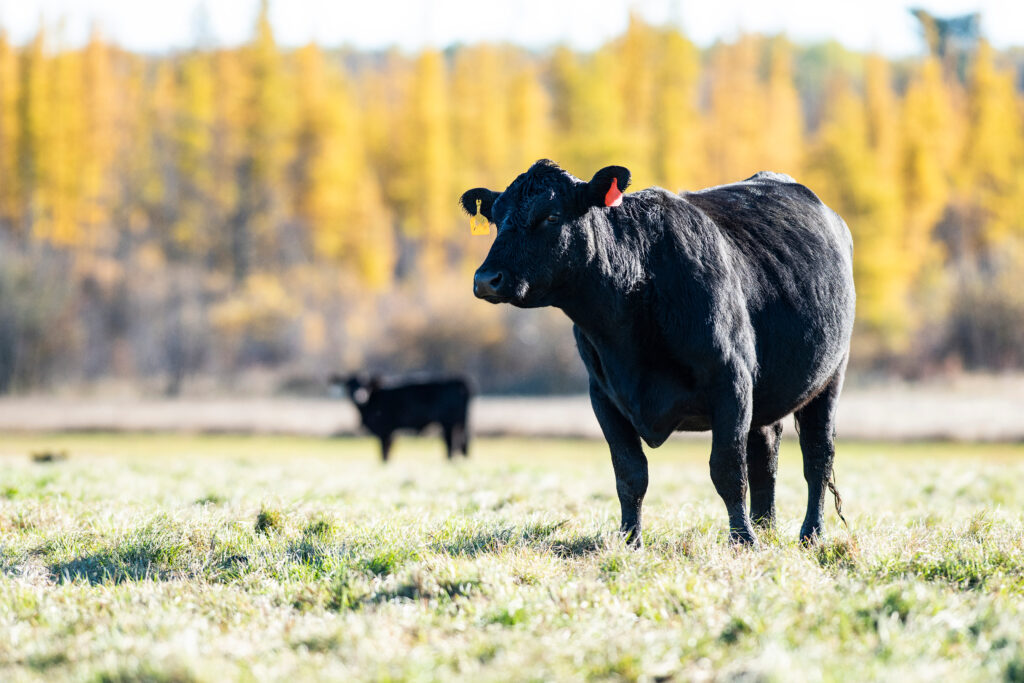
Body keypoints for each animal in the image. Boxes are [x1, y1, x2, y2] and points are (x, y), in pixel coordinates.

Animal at [329, 374, 468, 464]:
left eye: (366, 385)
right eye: (348, 385)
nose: (359, 396)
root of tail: (458, 381)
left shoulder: (384, 429)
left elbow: (384, 451)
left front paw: (384, 464)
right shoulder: (391, 431)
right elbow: (387, 450)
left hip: (449, 423)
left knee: (451, 444)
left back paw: (449, 461)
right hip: (459, 424)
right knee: (459, 443)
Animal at [464, 158, 856, 544]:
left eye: (551, 215)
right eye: (496, 219)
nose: (486, 279)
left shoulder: (731, 382)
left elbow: (727, 469)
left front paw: (742, 540)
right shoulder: (603, 395)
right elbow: (630, 473)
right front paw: (629, 540)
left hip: (829, 377)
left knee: (817, 456)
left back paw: (810, 534)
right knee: (766, 455)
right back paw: (767, 528)